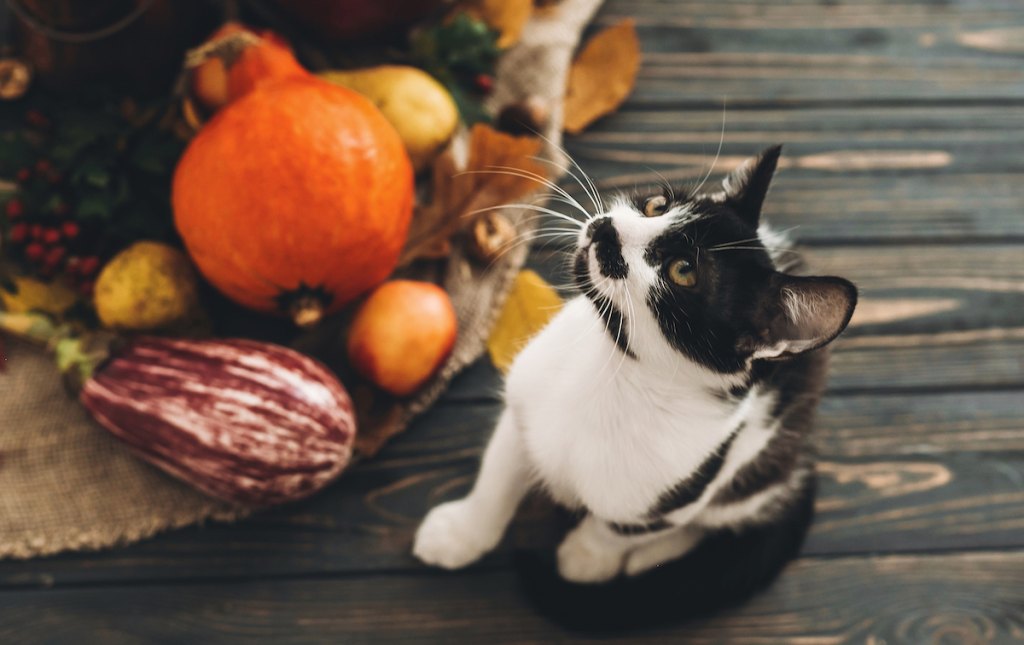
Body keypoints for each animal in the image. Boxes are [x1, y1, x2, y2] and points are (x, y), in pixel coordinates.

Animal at [409, 147, 856, 630]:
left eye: (683, 271)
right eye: (656, 205)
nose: (608, 227)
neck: (613, 374)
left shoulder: (682, 481)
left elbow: (620, 527)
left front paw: (587, 557)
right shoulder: (526, 403)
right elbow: (497, 476)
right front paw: (462, 533)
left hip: (759, 462)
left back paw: (651, 559)